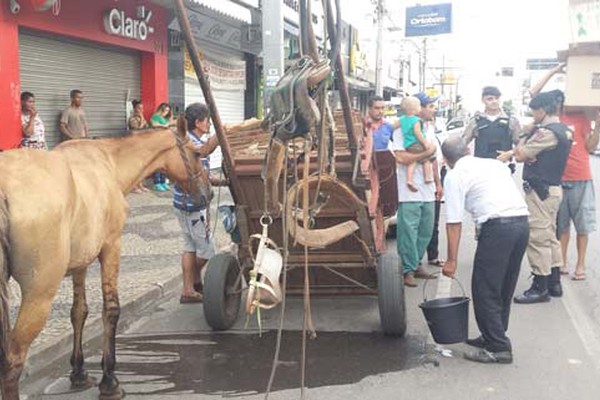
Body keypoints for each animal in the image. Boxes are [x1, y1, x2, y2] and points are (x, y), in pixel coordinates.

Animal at [0, 116, 216, 400]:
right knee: (13, 359)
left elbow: (79, 312)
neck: (109, 163)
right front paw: (109, 380)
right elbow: (111, 310)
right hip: (39, 295)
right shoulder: (111, 247)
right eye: (197, 153)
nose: (208, 193)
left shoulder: (80, 263)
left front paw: (78, 372)